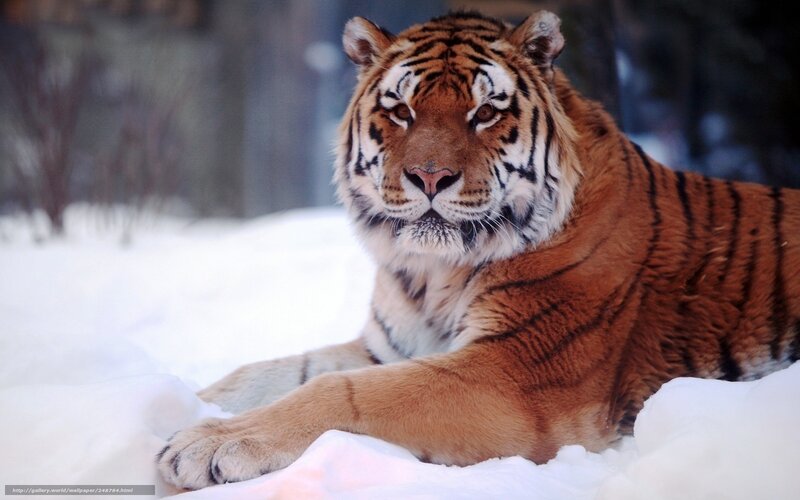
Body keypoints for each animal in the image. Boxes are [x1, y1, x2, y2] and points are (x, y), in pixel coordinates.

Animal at [158, 10, 800, 489]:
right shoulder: (389, 347)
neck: (432, 274)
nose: (429, 177)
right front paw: (184, 410)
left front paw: (203, 446)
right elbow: (261, 374)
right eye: (401, 110)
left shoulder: (513, 373)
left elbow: (341, 393)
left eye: (486, 112)